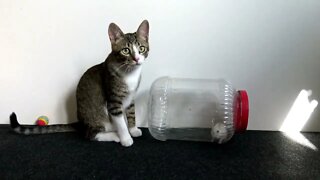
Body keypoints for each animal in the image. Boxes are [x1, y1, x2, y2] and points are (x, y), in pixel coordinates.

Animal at [9, 19, 150, 147]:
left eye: (141, 48)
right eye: (125, 50)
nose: (136, 59)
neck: (130, 73)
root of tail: (80, 123)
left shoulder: (131, 97)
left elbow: (131, 113)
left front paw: (133, 130)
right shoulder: (113, 101)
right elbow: (120, 122)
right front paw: (126, 138)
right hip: (97, 117)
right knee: (90, 134)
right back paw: (114, 135)